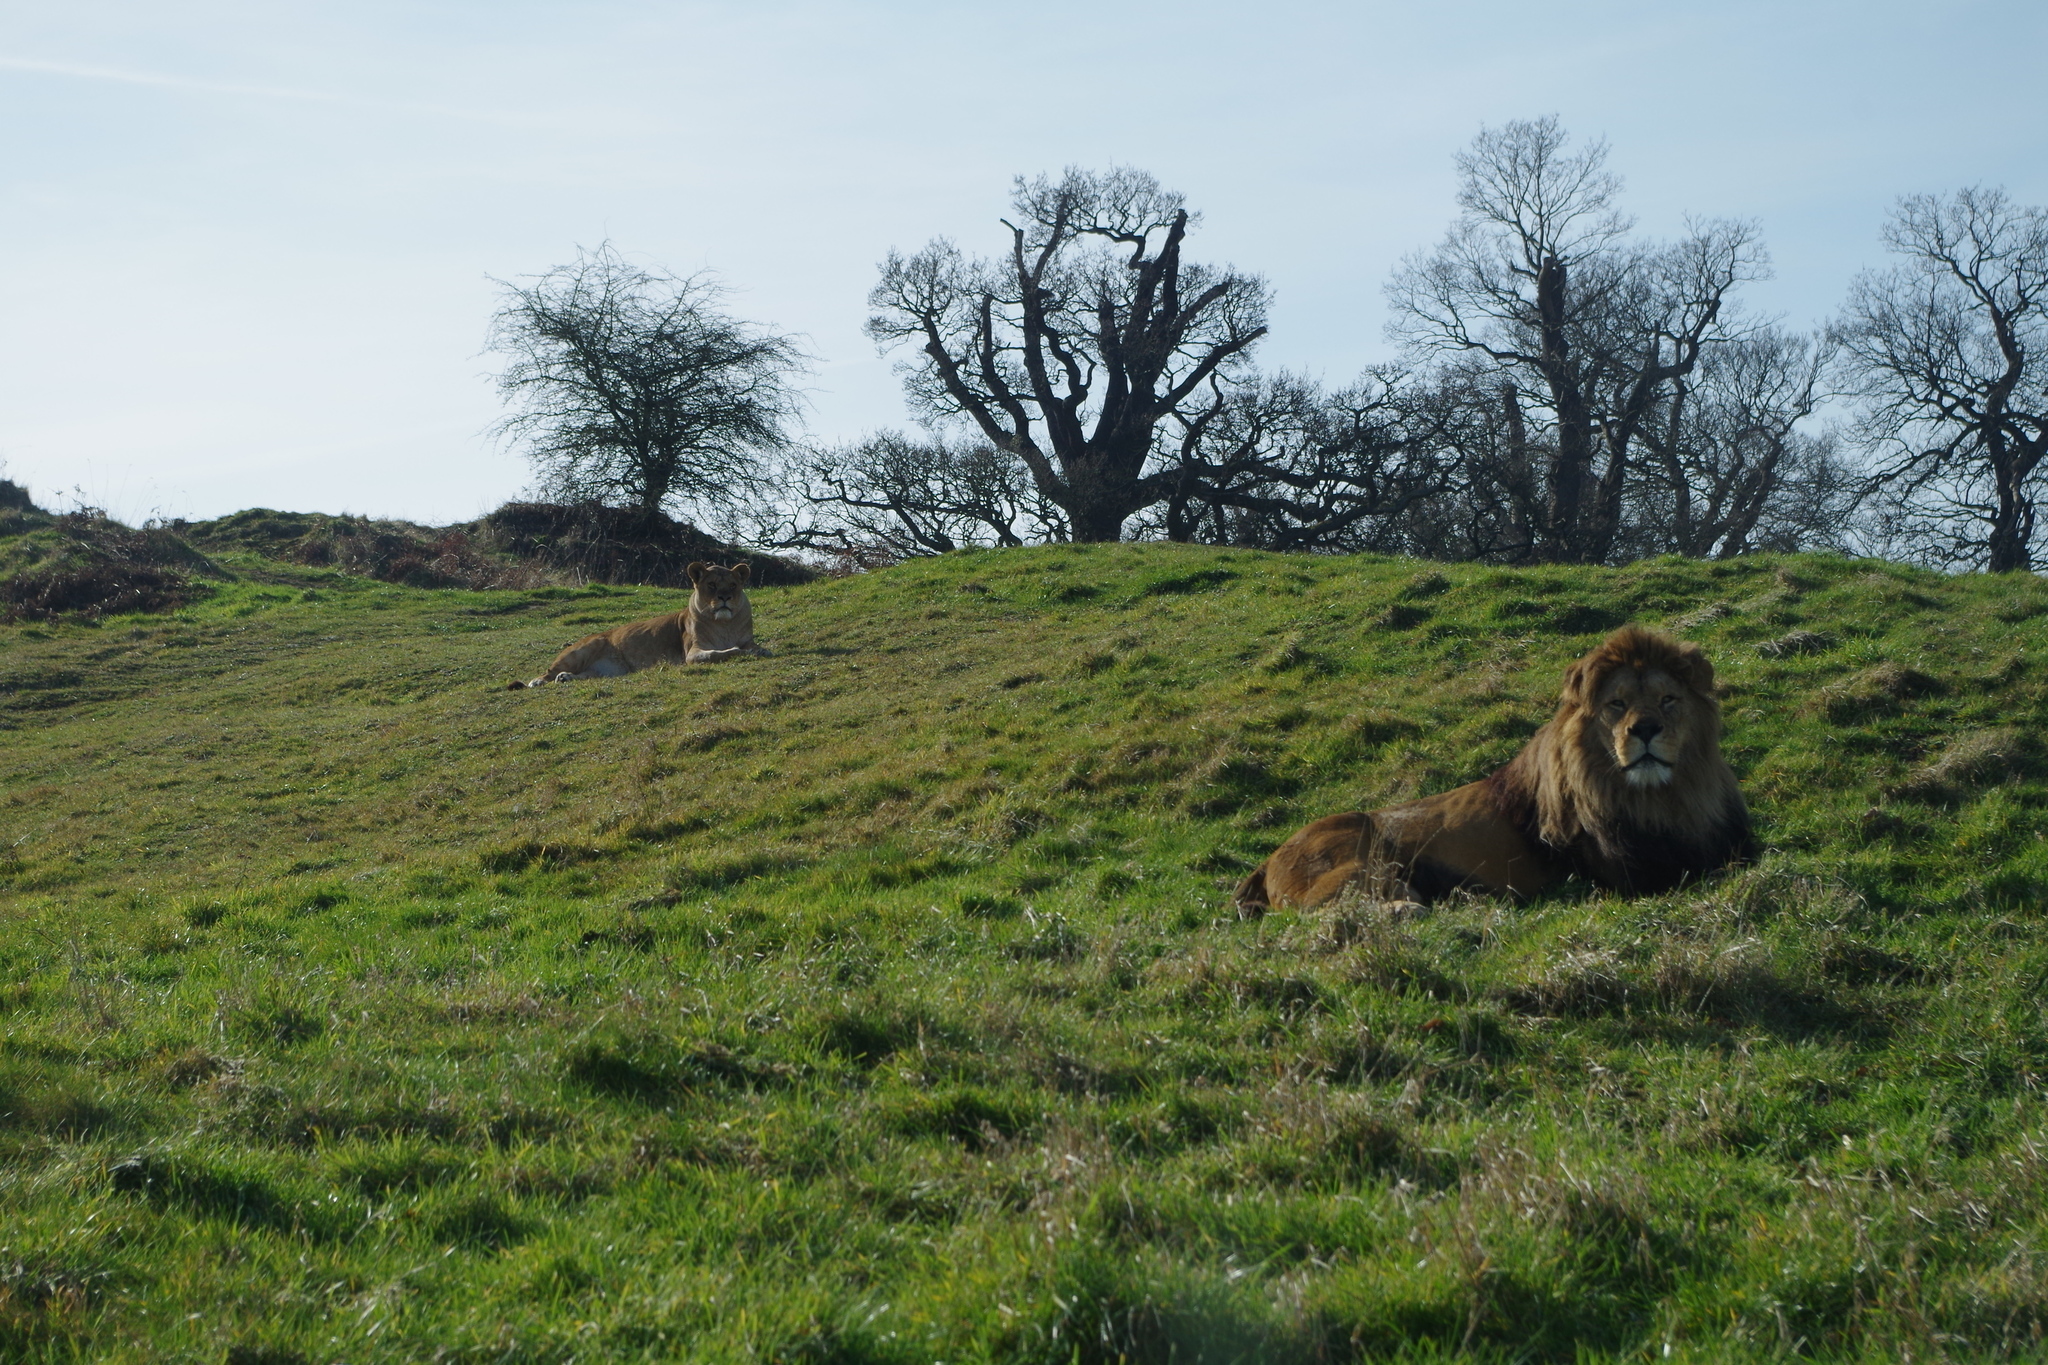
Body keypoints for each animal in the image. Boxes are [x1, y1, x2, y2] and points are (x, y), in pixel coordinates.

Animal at [512, 556, 770, 687]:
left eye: (733, 585)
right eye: (712, 585)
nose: (725, 597)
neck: (724, 624)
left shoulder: (745, 637)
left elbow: (752, 646)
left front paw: (761, 651)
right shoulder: (693, 653)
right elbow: (720, 653)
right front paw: (741, 652)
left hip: (613, 671)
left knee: (588, 675)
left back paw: (565, 678)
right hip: (583, 649)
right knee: (548, 671)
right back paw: (539, 680)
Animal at [1228, 626, 1761, 912]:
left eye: (1669, 699)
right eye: (1617, 704)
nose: (1645, 729)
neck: (1662, 799)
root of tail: (1267, 859)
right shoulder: (1633, 875)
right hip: (1366, 862)